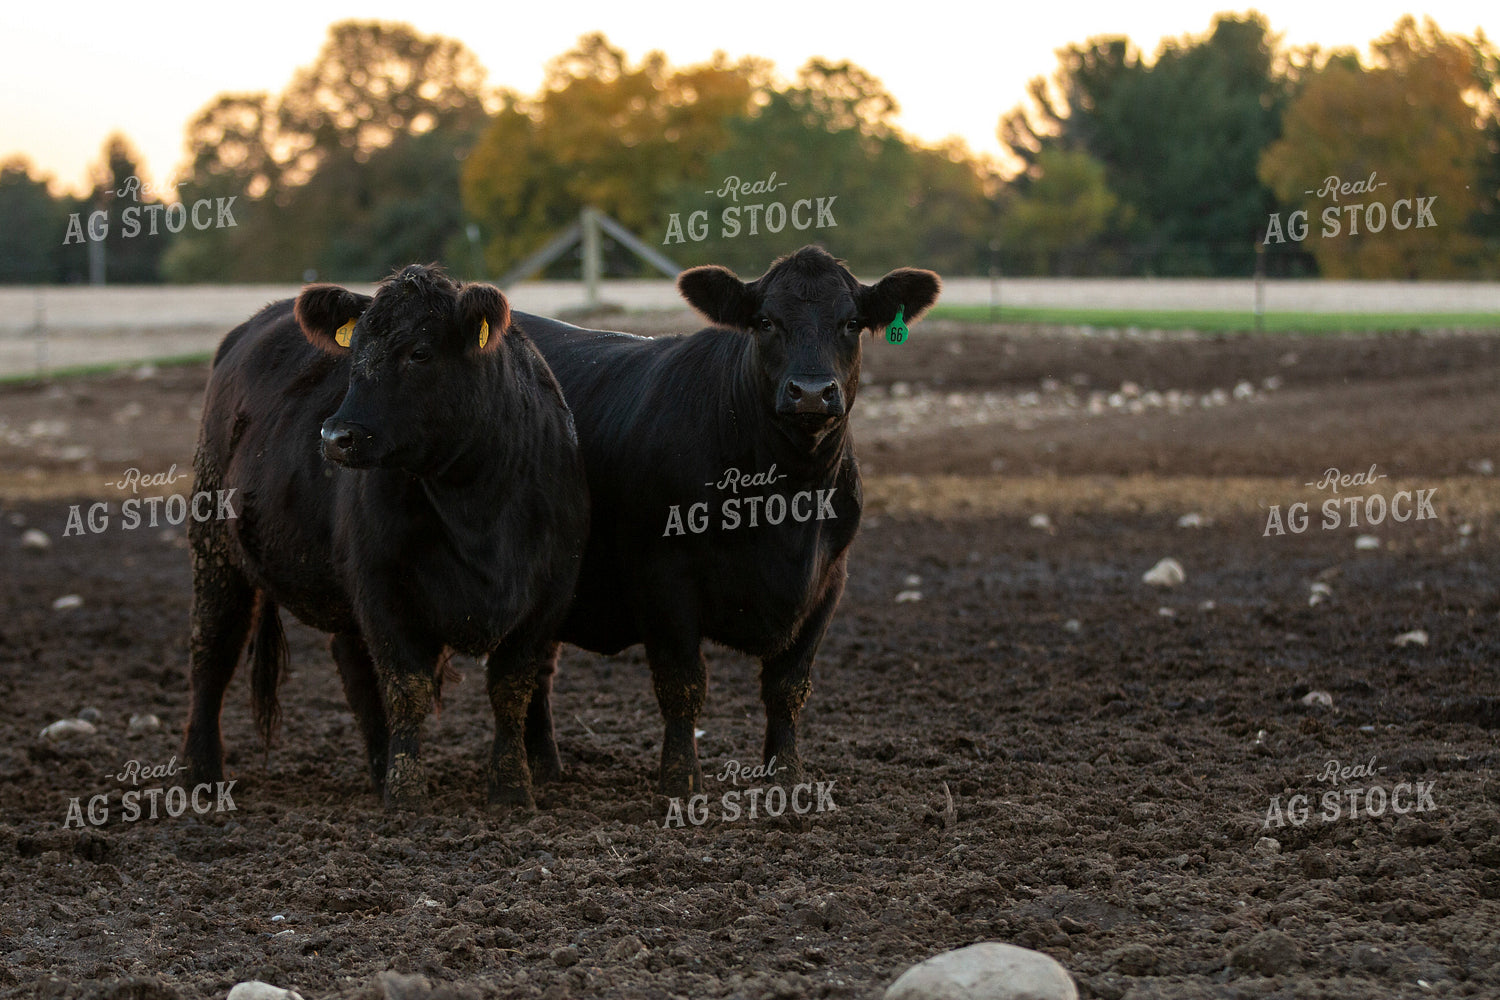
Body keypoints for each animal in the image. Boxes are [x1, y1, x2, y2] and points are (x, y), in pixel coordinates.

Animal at [182, 264, 589, 811]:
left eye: (420, 352)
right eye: (354, 353)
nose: (336, 437)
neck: (478, 512)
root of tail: (248, 328)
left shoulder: (547, 598)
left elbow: (512, 690)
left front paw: (511, 791)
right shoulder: (384, 591)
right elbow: (407, 690)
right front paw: (407, 797)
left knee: (353, 668)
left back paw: (378, 769)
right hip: (215, 549)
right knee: (212, 652)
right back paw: (201, 775)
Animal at [514, 245, 940, 798]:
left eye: (851, 322)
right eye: (765, 322)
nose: (809, 392)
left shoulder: (829, 580)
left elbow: (787, 687)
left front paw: (787, 777)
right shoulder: (662, 576)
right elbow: (682, 684)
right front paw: (681, 781)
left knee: (537, 668)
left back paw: (546, 766)